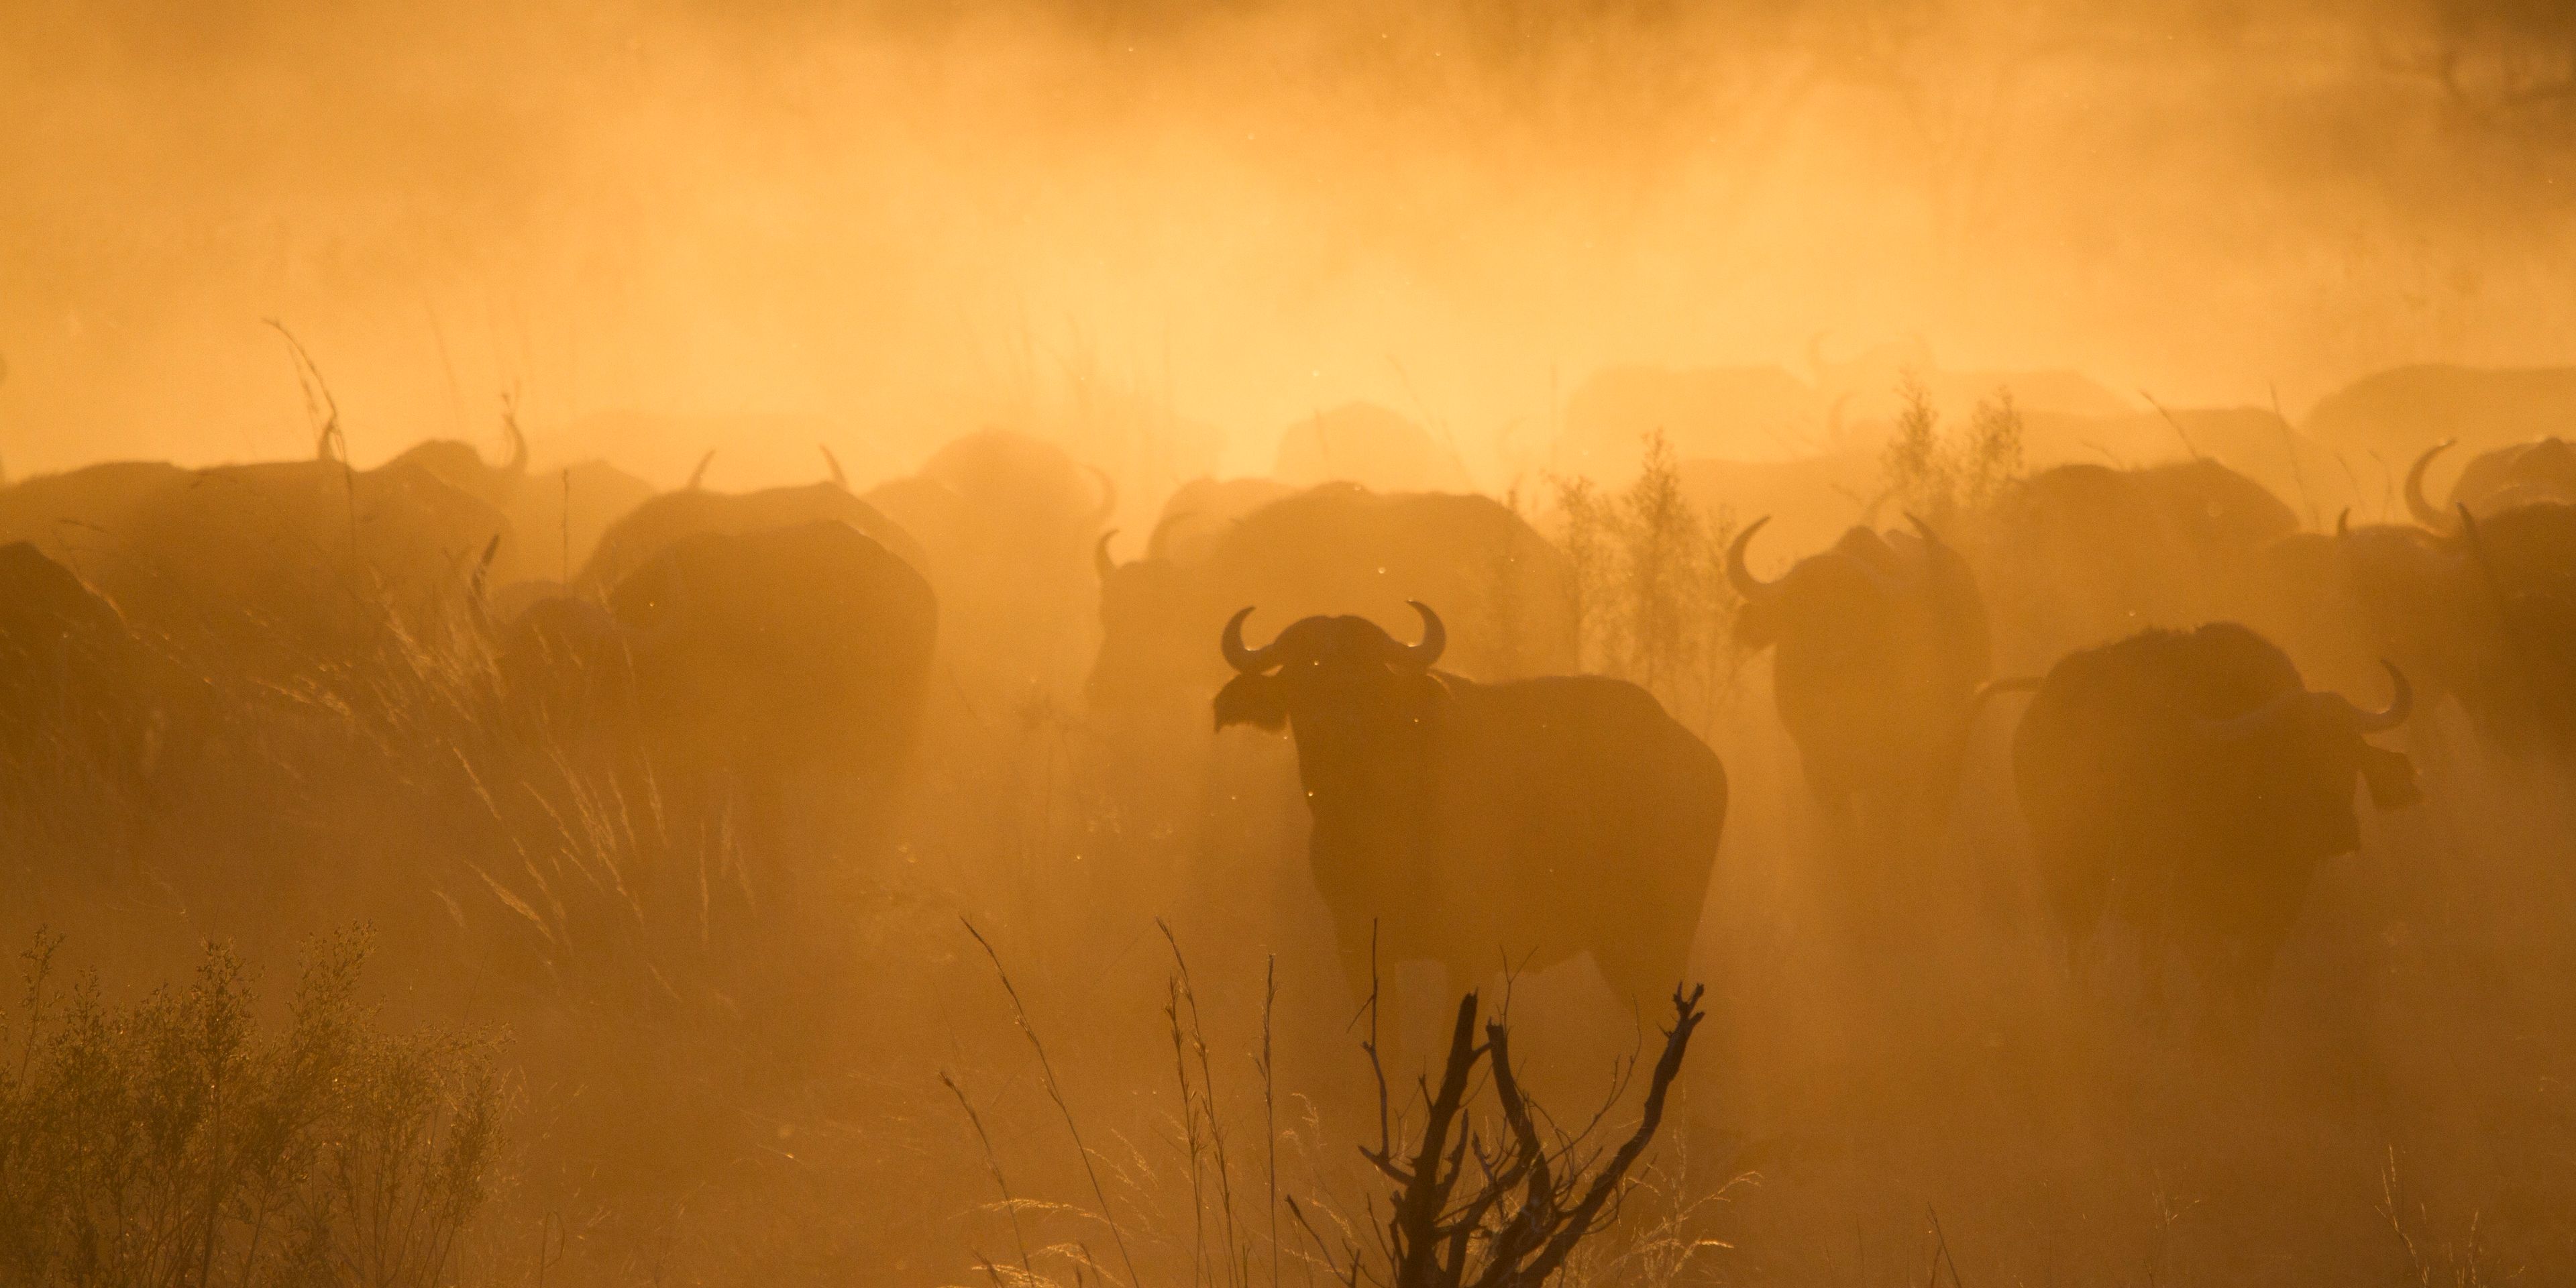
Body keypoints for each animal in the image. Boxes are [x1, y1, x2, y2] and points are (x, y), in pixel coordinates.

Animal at [1215, 602, 1724, 1010]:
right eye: (1303, 673)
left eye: (1368, 678)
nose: (1336, 727)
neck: (1377, 820)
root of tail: (1702, 760)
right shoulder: (1357, 948)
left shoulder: (1472, 954)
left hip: (1654, 941)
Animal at [2013, 623, 2417, 1018]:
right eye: (2290, 756)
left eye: (2350, 756)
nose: (2341, 832)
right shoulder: (2191, 916)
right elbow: (2215, 986)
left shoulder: (2278, 914)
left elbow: (2248, 986)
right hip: (2070, 883)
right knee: (2081, 950)